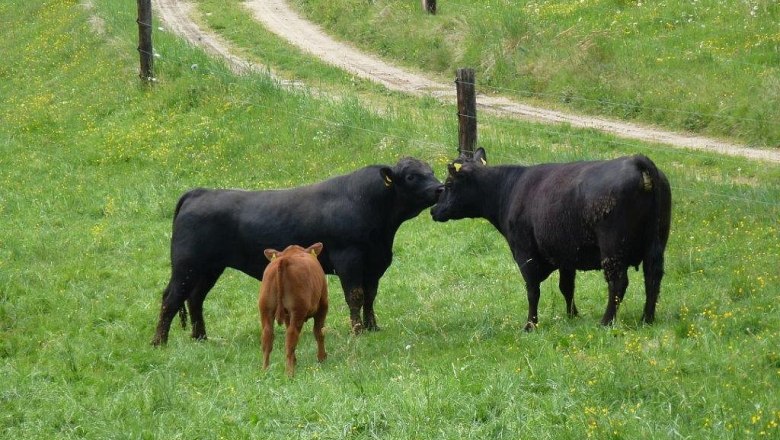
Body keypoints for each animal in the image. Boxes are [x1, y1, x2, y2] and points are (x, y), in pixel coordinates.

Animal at [151, 157, 443, 345]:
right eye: (411, 176)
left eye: (431, 171)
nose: (440, 188)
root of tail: (199, 192)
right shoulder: (349, 260)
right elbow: (356, 296)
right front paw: (358, 331)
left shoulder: (375, 263)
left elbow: (370, 296)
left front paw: (373, 327)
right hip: (186, 265)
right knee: (171, 298)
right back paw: (159, 342)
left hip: (209, 267)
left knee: (194, 298)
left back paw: (200, 337)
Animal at [259, 243, 328, 377]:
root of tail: (284, 259)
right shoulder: (323, 305)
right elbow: (319, 332)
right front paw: (322, 357)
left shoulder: (287, 316)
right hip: (298, 311)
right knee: (291, 337)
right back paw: (289, 373)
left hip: (266, 309)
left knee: (267, 336)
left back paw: (265, 371)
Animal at [431, 148, 671, 330]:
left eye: (449, 185)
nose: (434, 210)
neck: (509, 190)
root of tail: (636, 160)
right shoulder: (566, 255)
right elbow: (566, 287)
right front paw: (573, 316)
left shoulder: (525, 254)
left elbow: (533, 291)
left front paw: (530, 325)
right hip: (655, 244)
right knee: (653, 278)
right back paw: (647, 320)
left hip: (613, 249)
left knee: (618, 283)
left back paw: (606, 322)